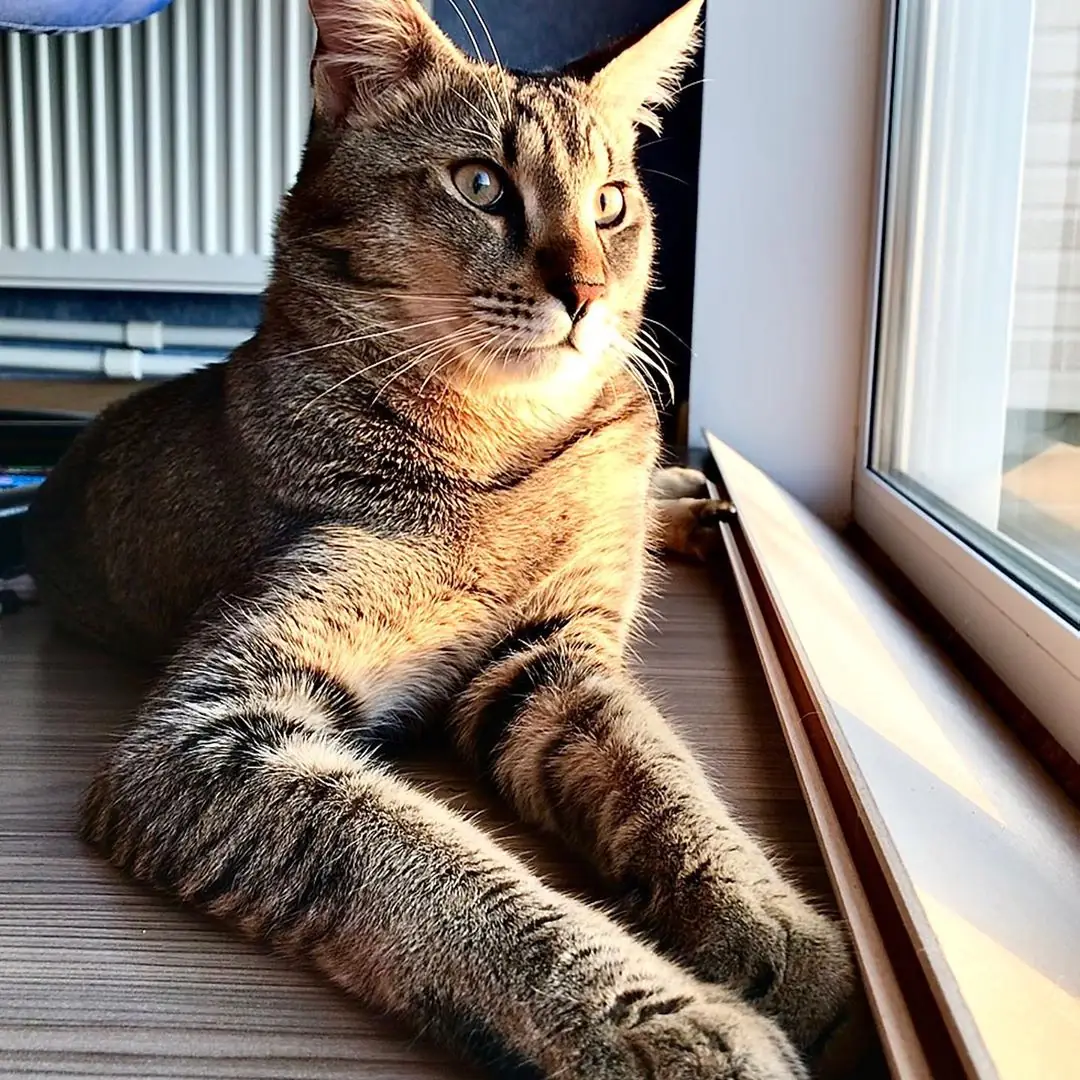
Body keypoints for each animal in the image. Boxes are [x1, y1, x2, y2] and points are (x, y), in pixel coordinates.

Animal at [24, 1, 856, 1076]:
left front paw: (773, 929)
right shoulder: (210, 734)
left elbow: (661, 771)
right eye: (481, 184)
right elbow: (422, 861)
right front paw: (668, 1027)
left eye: (612, 205)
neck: (507, 444)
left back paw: (684, 497)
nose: (588, 294)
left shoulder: (545, 654)